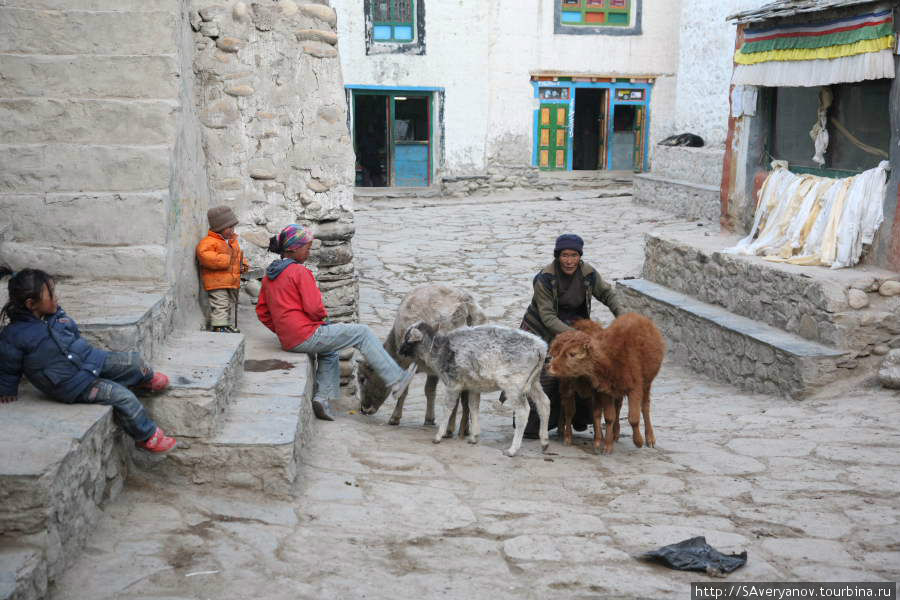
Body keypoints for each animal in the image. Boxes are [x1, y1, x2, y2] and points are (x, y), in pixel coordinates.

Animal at [400, 324, 552, 454]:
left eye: (407, 339)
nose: (399, 350)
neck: (440, 349)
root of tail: (540, 348)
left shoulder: (452, 384)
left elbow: (448, 409)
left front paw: (438, 435)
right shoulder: (474, 387)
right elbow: (473, 407)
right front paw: (474, 437)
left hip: (513, 385)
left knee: (523, 411)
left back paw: (513, 449)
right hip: (533, 382)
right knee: (544, 403)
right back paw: (544, 442)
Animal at [544, 314, 664, 454]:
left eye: (572, 354)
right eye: (557, 352)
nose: (549, 366)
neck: (610, 359)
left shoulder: (634, 389)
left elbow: (633, 418)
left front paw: (638, 442)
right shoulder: (602, 391)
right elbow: (604, 416)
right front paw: (603, 445)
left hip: (647, 384)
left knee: (645, 407)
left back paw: (649, 439)